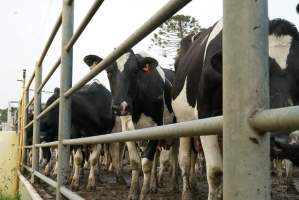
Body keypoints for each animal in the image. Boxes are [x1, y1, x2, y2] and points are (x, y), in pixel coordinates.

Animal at [84, 50, 178, 199]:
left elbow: (146, 163)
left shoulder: (157, 127)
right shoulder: (129, 130)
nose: (119, 107)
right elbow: (135, 162)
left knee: (177, 159)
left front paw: (143, 194)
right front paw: (134, 191)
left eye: (135, 71)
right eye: (108, 72)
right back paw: (154, 185)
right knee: (157, 159)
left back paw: (177, 186)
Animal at [170, 17, 299, 200]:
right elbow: (215, 172)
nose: (286, 141)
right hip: (183, 121)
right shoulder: (204, 114)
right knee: (185, 159)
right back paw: (187, 192)